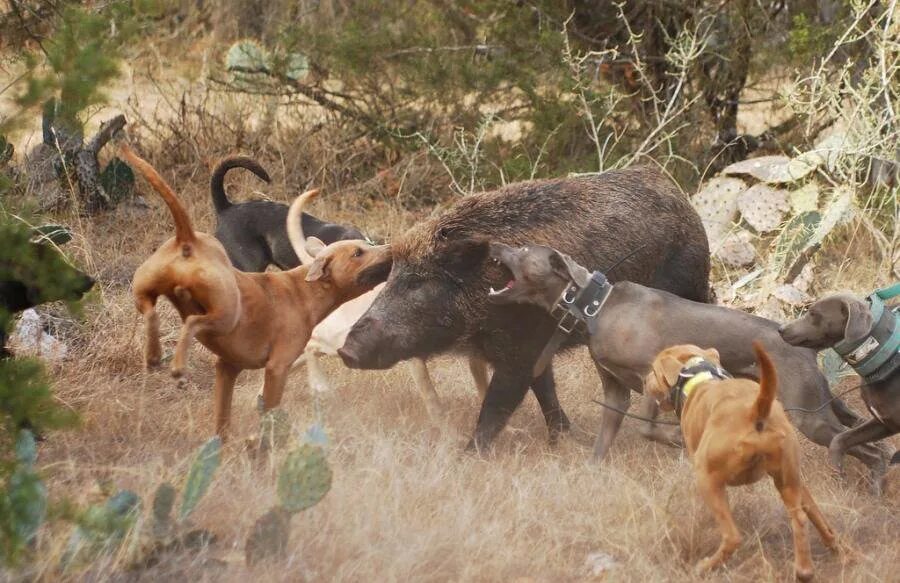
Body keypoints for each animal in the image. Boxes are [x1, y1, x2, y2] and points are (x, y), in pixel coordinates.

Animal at [486, 242, 884, 488]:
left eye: (523, 249)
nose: (491, 246)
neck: (596, 306)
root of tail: (805, 349)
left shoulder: (651, 374)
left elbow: (648, 429)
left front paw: (676, 439)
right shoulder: (615, 393)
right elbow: (602, 445)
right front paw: (591, 475)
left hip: (808, 416)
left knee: (872, 450)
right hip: (814, 406)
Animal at [644, 342, 840, 580]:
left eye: (653, 371)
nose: (643, 381)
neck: (697, 376)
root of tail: (755, 409)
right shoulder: (799, 484)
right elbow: (818, 517)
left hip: (707, 478)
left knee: (732, 537)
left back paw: (705, 566)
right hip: (788, 479)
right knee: (801, 518)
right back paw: (805, 570)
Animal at [780, 292, 900, 470]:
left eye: (814, 314)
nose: (780, 329)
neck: (885, 360)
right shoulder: (883, 423)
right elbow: (841, 437)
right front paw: (837, 460)